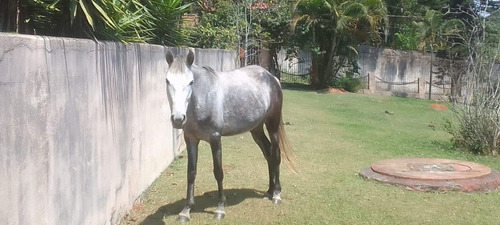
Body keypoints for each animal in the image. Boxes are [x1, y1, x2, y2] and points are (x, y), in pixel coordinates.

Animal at [166, 49, 294, 221]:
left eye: (191, 82)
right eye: (167, 81)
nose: (178, 119)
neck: (204, 97)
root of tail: (272, 78)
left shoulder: (215, 138)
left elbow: (218, 172)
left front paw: (220, 208)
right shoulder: (191, 139)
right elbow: (191, 173)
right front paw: (186, 210)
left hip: (272, 125)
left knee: (275, 154)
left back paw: (277, 194)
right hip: (256, 129)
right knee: (268, 154)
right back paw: (269, 191)